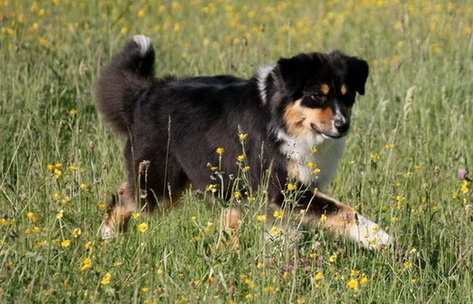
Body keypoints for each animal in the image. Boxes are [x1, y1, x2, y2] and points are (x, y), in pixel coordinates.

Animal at [97, 35, 390, 249]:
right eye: (317, 95)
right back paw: (107, 236)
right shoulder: (283, 188)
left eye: (348, 95)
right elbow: (344, 210)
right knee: (124, 196)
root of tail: (146, 92)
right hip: (160, 183)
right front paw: (379, 238)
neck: (282, 122)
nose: (343, 125)